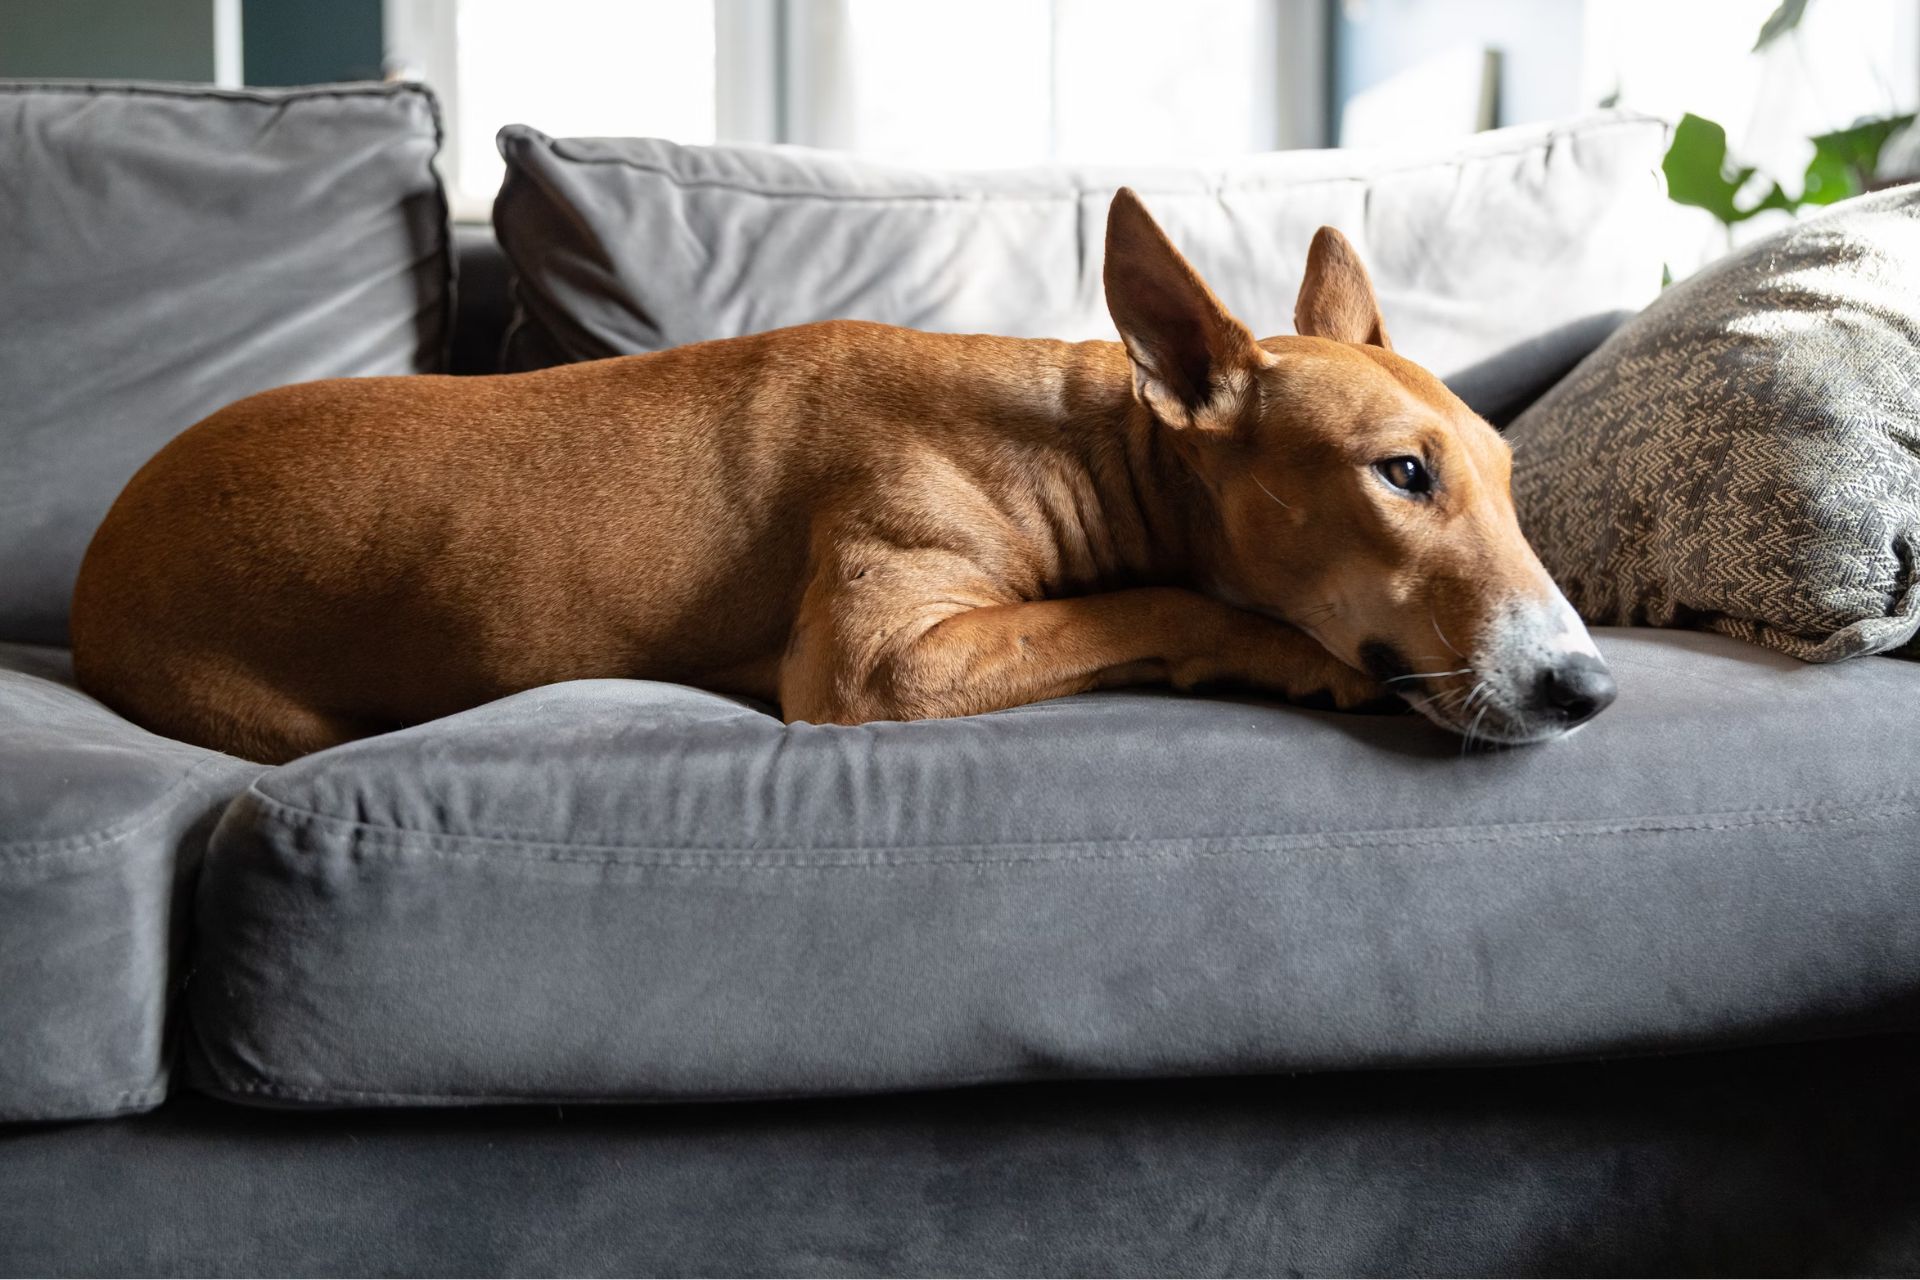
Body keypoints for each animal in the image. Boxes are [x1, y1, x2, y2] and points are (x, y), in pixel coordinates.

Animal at [67, 189, 1612, 759]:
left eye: (1504, 471)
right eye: (1399, 473)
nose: (1587, 688)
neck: (1074, 450)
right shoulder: (878, 662)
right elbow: (1151, 602)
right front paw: (1298, 658)